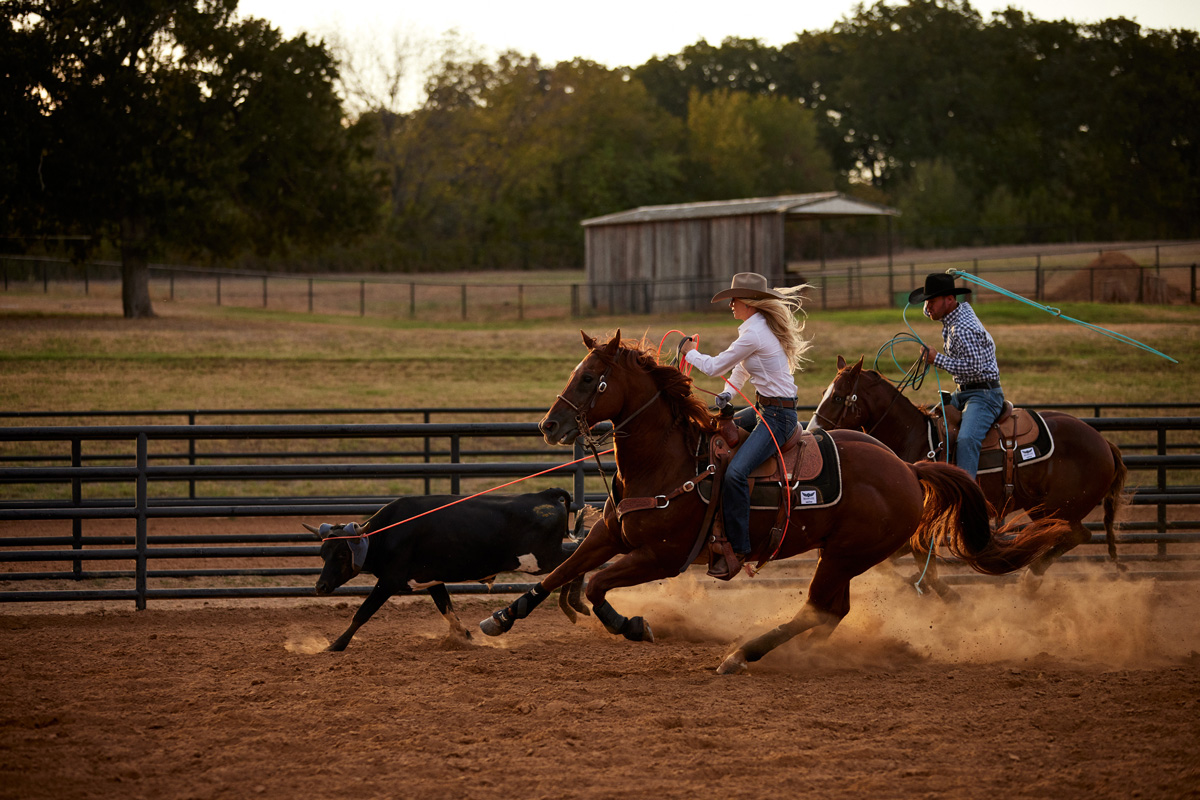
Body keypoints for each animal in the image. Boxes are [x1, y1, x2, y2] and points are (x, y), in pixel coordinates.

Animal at [477, 331, 1070, 676]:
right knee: (830, 613)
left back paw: (741, 654)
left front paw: (634, 626)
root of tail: (908, 468)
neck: (670, 459)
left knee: (822, 609)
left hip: (847, 553)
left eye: (590, 378)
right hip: (842, 556)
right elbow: (562, 573)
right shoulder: (611, 535)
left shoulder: (663, 557)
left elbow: (596, 585)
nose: (548, 425)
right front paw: (501, 617)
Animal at [806, 355, 1123, 594]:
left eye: (838, 396)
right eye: (823, 393)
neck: (915, 437)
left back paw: (1030, 578)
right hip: (1044, 508)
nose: (812, 431)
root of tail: (1102, 441)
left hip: (1062, 507)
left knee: (1076, 534)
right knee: (1064, 534)